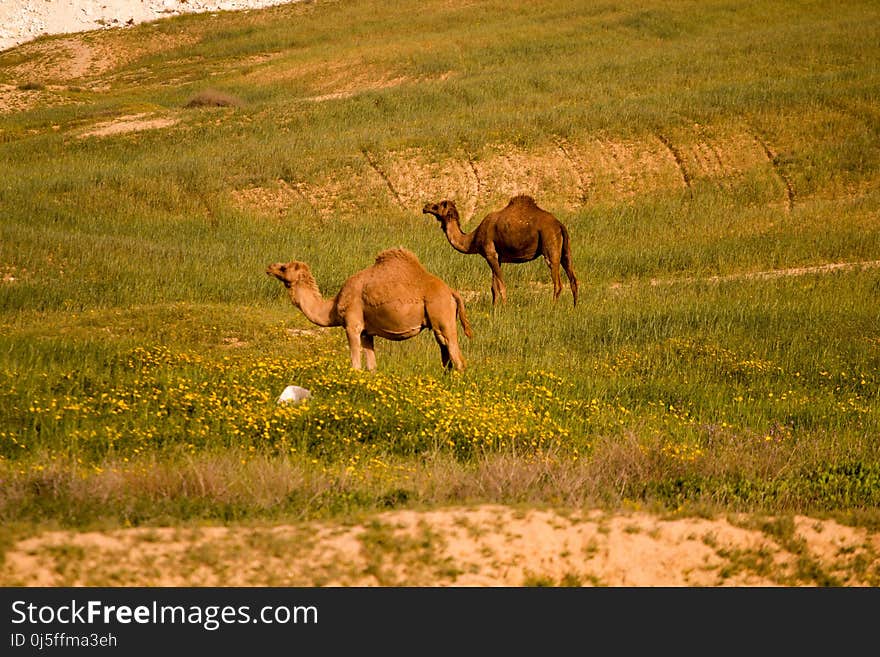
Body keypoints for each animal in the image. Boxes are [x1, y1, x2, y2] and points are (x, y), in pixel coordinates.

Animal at [266, 247, 474, 372]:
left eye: (283, 267)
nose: (269, 267)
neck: (333, 307)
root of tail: (451, 291)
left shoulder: (353, 325)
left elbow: (356, 365)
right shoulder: (367, 333)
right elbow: (372, 367)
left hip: (442, 315)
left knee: (458, 359)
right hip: (437, 323)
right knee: (446, 355)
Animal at [424, 193, 580, 306]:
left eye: (437, 206)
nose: (425, 207)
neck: (474, 238)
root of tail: (559, 225)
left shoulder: (490, 254)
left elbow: (501, 285)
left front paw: (504, 308)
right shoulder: (496, 258)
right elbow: (494, 287)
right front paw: (494, 309)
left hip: (550, 245)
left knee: (558, 282)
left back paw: (553, 307)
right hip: (566, 251)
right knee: (573, 279)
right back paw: (574, 308)